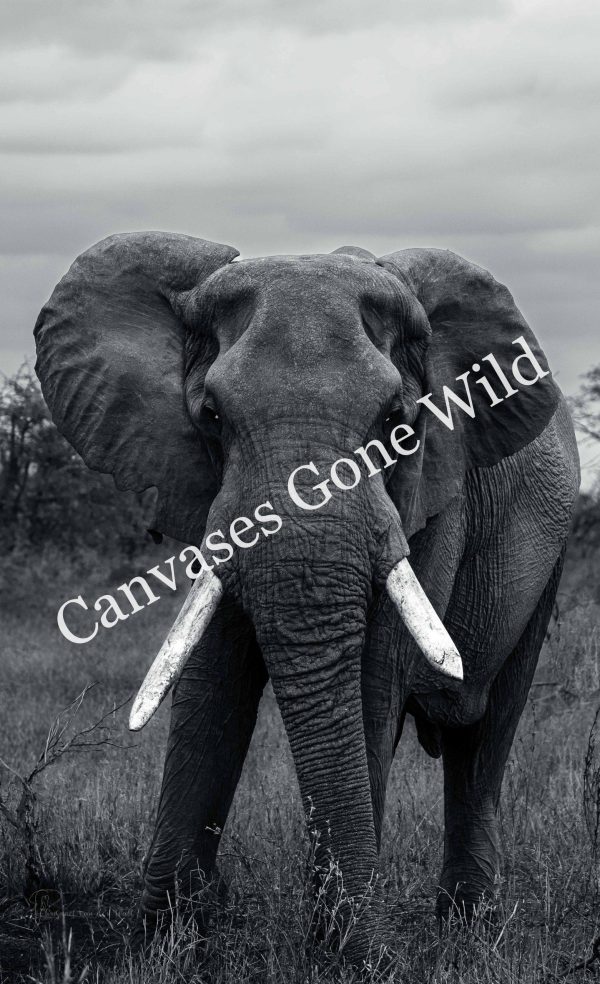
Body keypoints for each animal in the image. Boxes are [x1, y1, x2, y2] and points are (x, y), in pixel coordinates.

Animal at [34, 233, 580, 965]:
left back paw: (468, 932)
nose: (370, 954)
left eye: (397, 421)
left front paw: (347, 957)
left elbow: (372, 685)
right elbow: (212, 684)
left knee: (486, 731)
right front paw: (161, 947)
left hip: (551, 551)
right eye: (211, 416)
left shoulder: (432, 497)